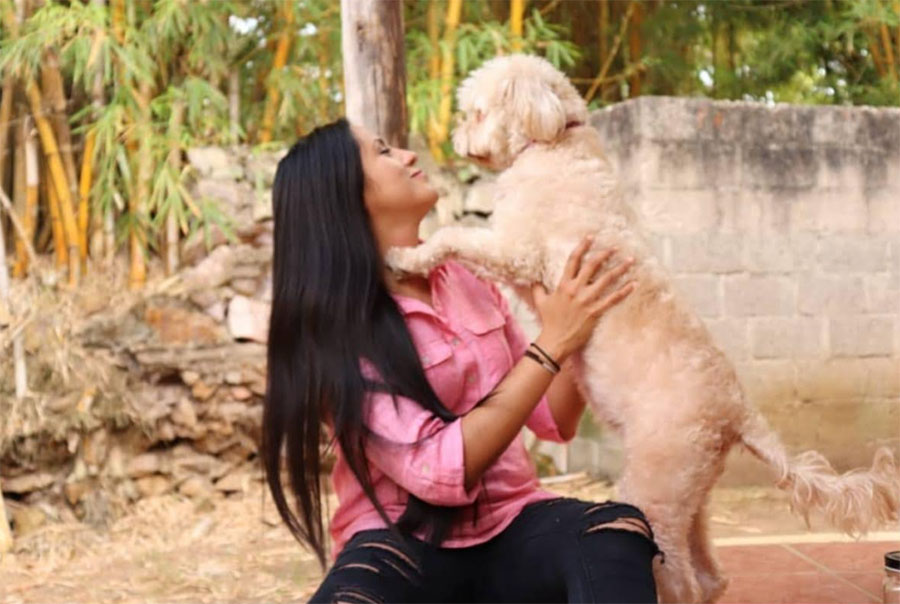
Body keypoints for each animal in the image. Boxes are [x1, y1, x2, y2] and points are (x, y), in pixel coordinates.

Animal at [385, 54, 900, 603]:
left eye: (477, 111)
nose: (457, 136)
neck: (557, 141)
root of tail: (737, 411)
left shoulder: (516, 249)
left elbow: (454, 236)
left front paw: (404, 257)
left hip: (656, 489)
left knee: (684, 578)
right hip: (690, 493)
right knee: (712, 576)